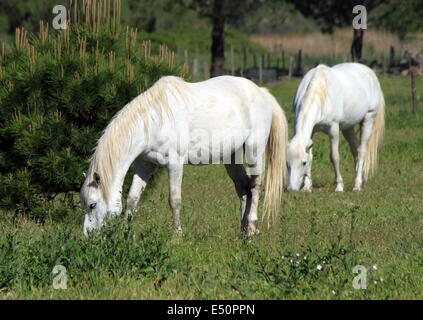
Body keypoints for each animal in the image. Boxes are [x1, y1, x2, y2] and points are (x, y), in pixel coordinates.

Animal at [80, 75, 288, 238]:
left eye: (92, 205)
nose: (88, 237)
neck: (155, 120)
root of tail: (261, 92)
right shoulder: (144, 164)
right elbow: (131, 199)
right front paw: (124, 234)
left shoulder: (175, 164)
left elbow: (174, 200)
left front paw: (176, 236)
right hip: (231, 157)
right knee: (243, 187)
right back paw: (244, 231)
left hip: (254, 150)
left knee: (255, 186)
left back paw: (252, 228)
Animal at [288, 62, 384, 192]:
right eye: (287, 163)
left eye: (303, 163)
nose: (291, 189)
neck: (321, 91)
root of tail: (371, 73)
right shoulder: (311, 133)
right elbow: (311, 156)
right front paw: (307, 187)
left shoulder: (333, 130)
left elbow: (334, 157)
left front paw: (339, 186)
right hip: (347, 127)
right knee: (355, 149)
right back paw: (361, 180)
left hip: (368, 119)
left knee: (362, 151)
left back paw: (357, 185)